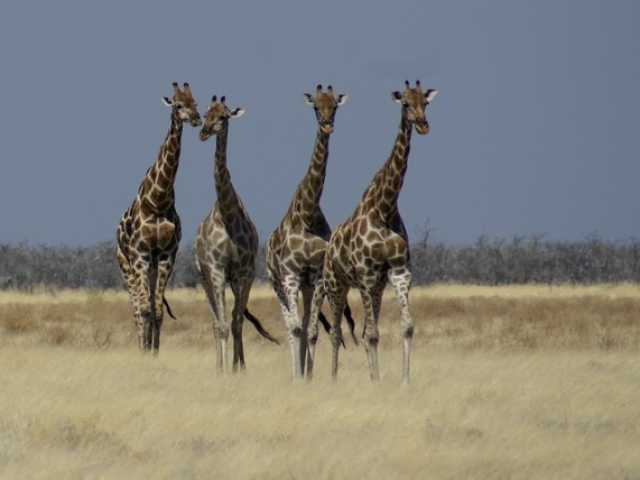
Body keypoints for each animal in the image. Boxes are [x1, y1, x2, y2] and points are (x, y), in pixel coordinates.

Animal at [116, 81, 201, 352]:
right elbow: (144, 311)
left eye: (196, 102)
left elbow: (157, 312)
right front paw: (145, 352)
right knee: (136, 310)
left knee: (152, 307)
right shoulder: (140, 254)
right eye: (178, 105)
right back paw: (141, 347)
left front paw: (155, 353)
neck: (158, 200)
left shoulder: (165, 255)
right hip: (127, 266)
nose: (196, 118)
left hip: (151, 268)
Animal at [194, 93, 276, 372]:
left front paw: (239, 367)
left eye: (223, 115)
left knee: (233, 318)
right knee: (214, 321)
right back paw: (219, 366)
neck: (228, 215)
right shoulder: (217, 270)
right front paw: (225, 371)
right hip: (204, 276)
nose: (204, 132)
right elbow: (222, 324)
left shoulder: (244, 272)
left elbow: (236, 321)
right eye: (205, 113)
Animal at [268, 84, 352, 380]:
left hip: (305, 286)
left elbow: (312, 330)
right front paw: (297, 378)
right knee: (291, 326)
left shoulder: (315, 278)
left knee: (304, 325)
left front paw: (309, 377)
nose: (327, 125)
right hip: (277, 283)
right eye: (316, 106)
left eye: (334, 106)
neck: (307, 213)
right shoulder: (290, 275)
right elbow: (295, 329)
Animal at [324, 80, 436, 384]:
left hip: (375, 287)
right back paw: (333, 379)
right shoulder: (364, 274)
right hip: (336, 284)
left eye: (425, 102)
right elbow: (373, 334)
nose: (423, 125)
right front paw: (378, 381)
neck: (385, 207)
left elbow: (406, 327)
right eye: (405, 103)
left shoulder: (398, 272)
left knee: (362, 332)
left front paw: (402, 381)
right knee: (337, 332)